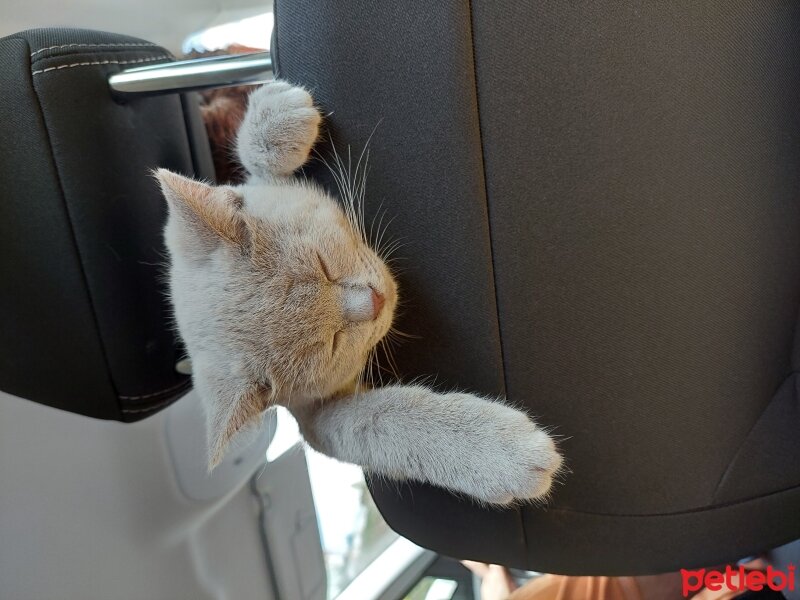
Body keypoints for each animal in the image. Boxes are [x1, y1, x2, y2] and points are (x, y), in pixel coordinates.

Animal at [153, 78, 560, 502]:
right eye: (331, 343)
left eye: (322, 264)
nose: (375, 302)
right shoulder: (314, 417)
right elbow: (379, 424)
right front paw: (500, 455)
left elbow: (250, 170)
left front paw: (277, 114)